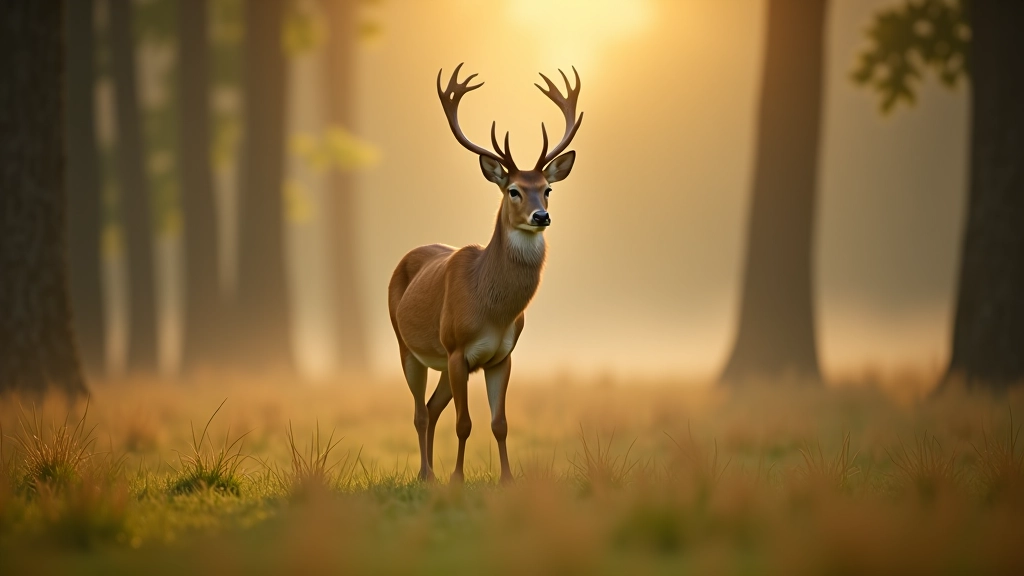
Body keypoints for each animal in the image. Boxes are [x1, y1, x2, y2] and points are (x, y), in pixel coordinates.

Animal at [387, 64, 583, 483]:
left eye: (547, 189)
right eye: (513, 190)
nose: (541, 216)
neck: (491, 309)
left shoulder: (501, 356)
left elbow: (500, 423)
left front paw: (507, 479)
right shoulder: (457, 348)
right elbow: (465, 423)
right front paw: (458, 479)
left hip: (443, 363)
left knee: (432, 407)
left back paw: (431, 471)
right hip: (408, 347)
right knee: (419, 412)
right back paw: (426, 474)